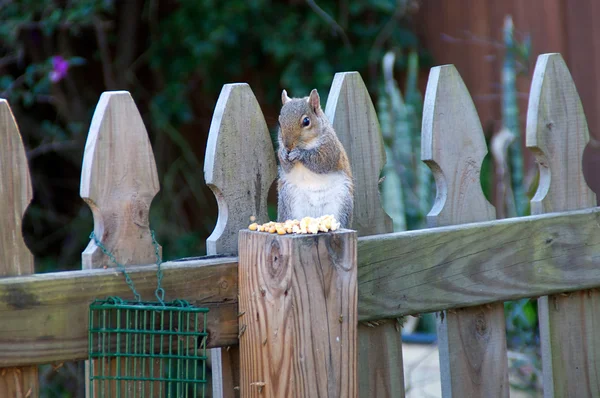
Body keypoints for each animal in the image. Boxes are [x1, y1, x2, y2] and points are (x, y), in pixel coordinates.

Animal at [278, 89, 356, 229]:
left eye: (306, 121)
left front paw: (299, 154)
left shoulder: (330, 149)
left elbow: (321, 162)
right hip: (288, 202)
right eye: (279, 122)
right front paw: (282, 154)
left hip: (342, 202)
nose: (287, 146)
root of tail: (314, 217)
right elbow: (286, 167)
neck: (308, 144)